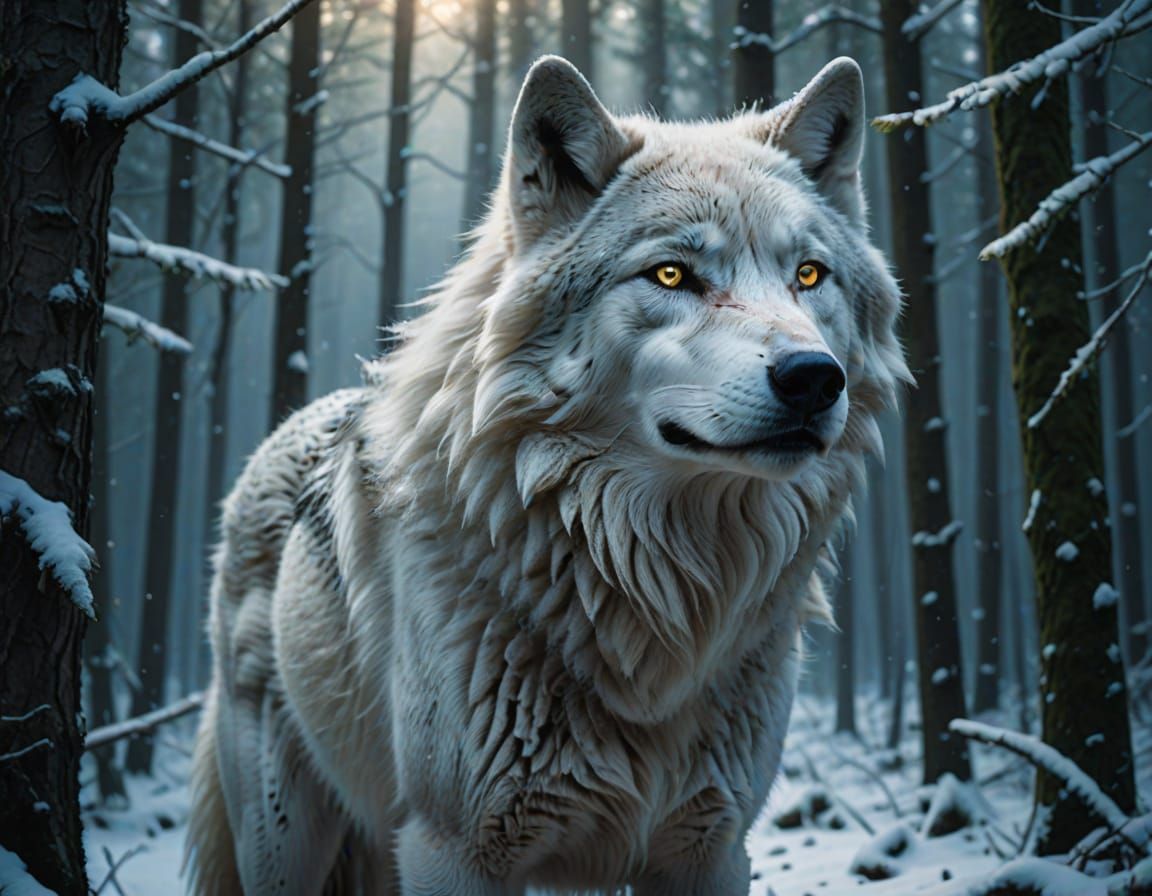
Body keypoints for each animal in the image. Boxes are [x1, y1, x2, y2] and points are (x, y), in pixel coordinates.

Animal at [185, 55, 908, 895]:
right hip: (287, 837)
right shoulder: (452, 849)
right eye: (672, 274)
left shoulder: (712, 848)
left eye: (809, 275)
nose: (815, 379)